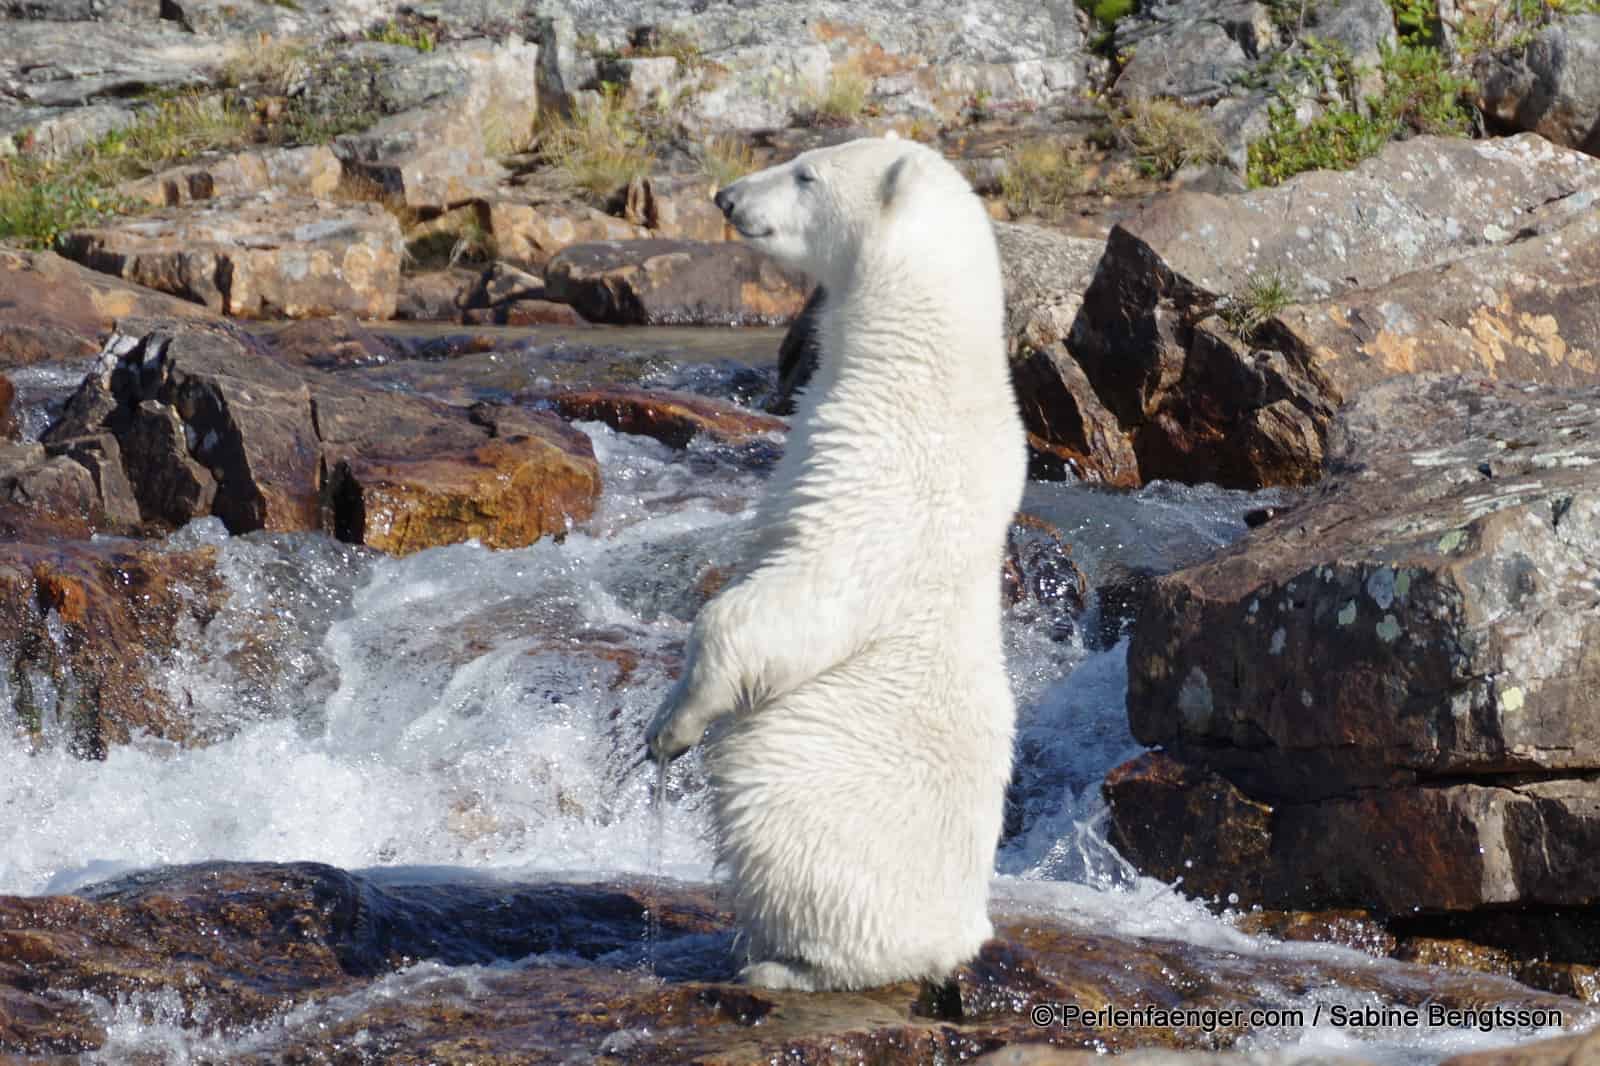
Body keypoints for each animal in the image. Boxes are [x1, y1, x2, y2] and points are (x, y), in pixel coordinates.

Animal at [640, 136, 1024, 992]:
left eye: (805, 173)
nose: (725, 197)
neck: (921, 357)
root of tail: (963, 932)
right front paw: (661, 712)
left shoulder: (885, 469)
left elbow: (786, 602)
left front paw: (674, 728)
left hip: (821, 810)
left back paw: (782, 964)